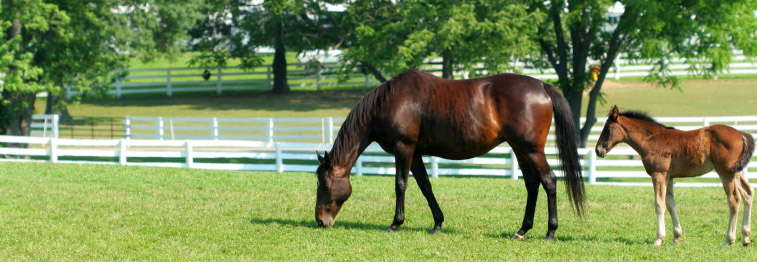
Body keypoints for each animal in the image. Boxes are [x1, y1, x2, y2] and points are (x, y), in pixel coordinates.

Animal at [314, 70, 584, 239]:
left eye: (324, 184)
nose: (320, 221)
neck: (389, 102)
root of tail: (542, 86)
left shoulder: (404, 148)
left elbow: (400, 184)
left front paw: (395, 224)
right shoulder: (416, 153)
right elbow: (425, 186)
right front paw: (437, 224)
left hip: (531, 149)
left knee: (549, 181)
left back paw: (550, 231)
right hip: (520, 149)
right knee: (532, 184)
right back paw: (522, 230)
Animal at [596, 106, 752, 246]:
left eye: (608, 129)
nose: (598, 150)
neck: (650, 139)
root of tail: (741, 133)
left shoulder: (658, 174)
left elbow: (659, 204)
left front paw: (659, 239)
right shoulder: (669, 177)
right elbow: (671, 204)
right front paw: (676, 237)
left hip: (725, 173)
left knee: (734, 199)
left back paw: (728, 240)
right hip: (735, 172)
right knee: (748, 193)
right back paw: (745, 238)